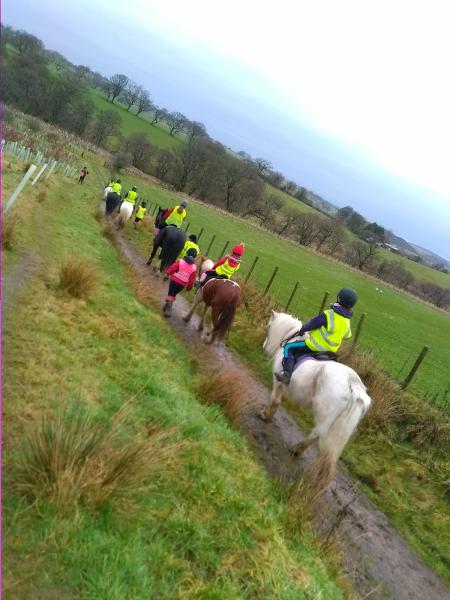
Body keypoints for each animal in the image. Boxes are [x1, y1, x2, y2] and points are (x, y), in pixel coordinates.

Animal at [262, 310, 370, 474]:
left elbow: (275, 400)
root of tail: (353, 384)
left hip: (324, 415)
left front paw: (265, 415)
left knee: (317, 434)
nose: (264, 346)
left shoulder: (278, 383)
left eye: (269, 326)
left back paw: (297, 449)